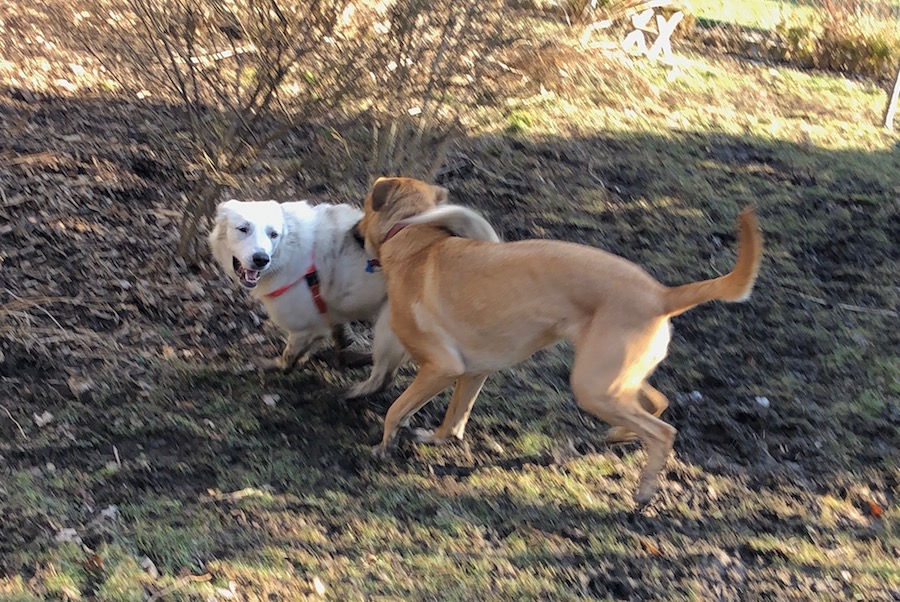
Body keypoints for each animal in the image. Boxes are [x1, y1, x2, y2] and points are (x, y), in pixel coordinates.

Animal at [209, 198, 406, 390]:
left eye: (273, 234)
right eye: (243, 229)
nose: (261, 259)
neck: (288, 250)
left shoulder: (302, 328)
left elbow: (288, 355)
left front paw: (278, 366)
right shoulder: (321, 323)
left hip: (386, 328)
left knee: (382, 378)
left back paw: (350, 393)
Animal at [356, 177, 762, 507]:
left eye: (363, 206)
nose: (355, 231)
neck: (414, 239)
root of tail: (661, 295)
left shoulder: (442, 366)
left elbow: (396, 409)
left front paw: (382, 447)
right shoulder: (473, 372)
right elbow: (455, 417)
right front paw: (437, 438)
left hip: (592, 386)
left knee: (663, 432)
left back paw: (645, 492)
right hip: (609, 380)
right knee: (656, 402)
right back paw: (619, 436)